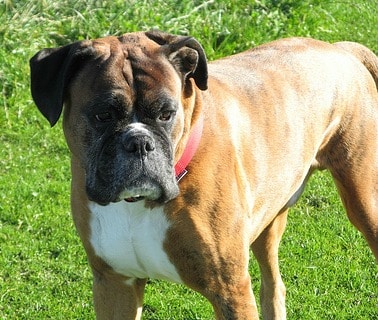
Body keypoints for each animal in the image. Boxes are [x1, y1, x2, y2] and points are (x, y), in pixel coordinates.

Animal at [31, 30, 376, 320]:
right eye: (103, 115)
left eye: (166, 114)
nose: (139, 142)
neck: (137, 205)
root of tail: (339, 49)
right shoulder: (115, 285)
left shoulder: (230, 291)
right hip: (270, 215)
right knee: (273, 284)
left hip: (365, 204)